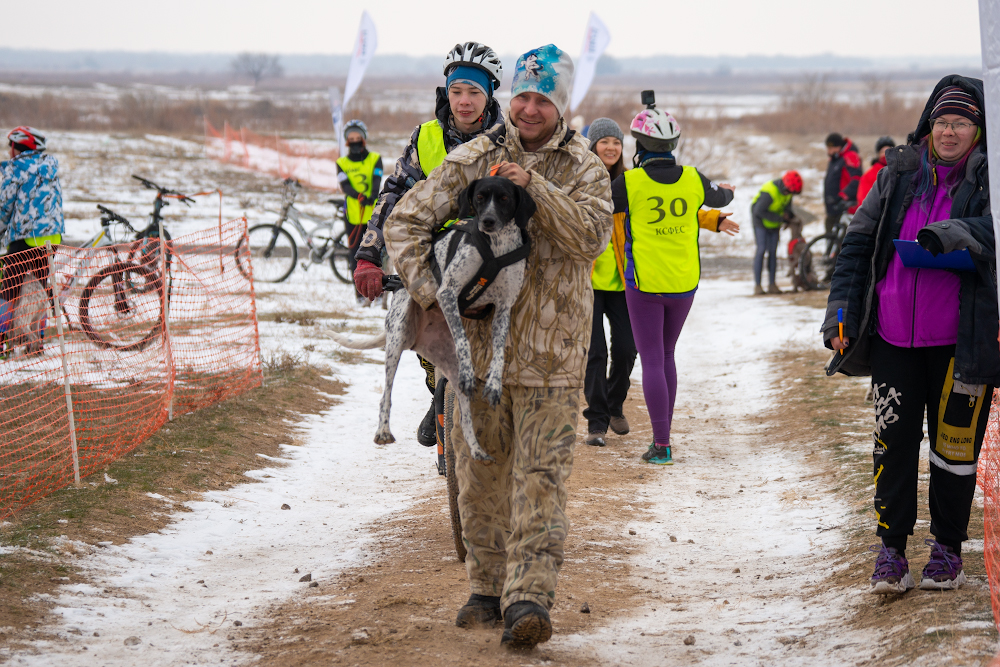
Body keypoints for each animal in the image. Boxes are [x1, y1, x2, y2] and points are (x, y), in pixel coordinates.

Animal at [332, 175, 536, 462]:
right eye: (480, 197)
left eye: (505, 198)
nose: (487, 221)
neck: (495, 247)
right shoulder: (448, 293)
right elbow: (462, 340)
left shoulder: (504, 308)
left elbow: (499, 353)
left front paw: (495, 384)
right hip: (396, 340)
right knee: (386, 394)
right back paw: (383, 431)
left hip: (449, 372)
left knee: (464, 415)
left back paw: (476, 448)